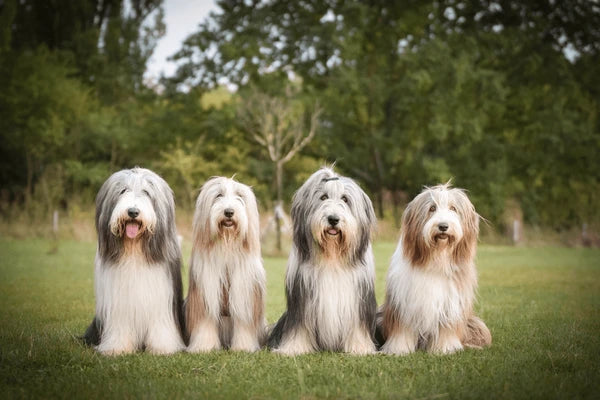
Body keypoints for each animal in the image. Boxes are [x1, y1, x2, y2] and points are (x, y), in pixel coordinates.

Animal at [82, 167, 185, 354]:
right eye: (123, 190)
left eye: (147, 192)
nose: (132, 212)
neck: (134, 250)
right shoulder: (117, 303)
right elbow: (120, 325)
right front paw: (117, 348)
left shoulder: (160, 298)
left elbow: (160, 325)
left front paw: (162, 348)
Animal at [185, 177, 264, 352]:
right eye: (218, 195)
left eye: (239, 196)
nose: (229, 212)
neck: (226, 245)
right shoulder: (205, 290)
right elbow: (205, 322)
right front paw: (204, 346)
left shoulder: (244, 292)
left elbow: (243, 324)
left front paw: (243, 347)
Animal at [270, 167, 378, 354]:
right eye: (323, 197)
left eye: (345, 199)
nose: (333, 219)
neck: (331, 257)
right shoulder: (302, 298)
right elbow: (300, 327)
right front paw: (294, 348)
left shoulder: (358, 300)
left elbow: (357, 327)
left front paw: (359, 348)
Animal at [380, 183, 492, 354]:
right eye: (432, 208)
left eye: (453, 208)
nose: (443, 226)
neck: (436, 258)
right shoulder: (404, 303)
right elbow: (402, 329)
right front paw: (398, 349)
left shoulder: (450, 304)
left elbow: (447, 329)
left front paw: (445, 348)